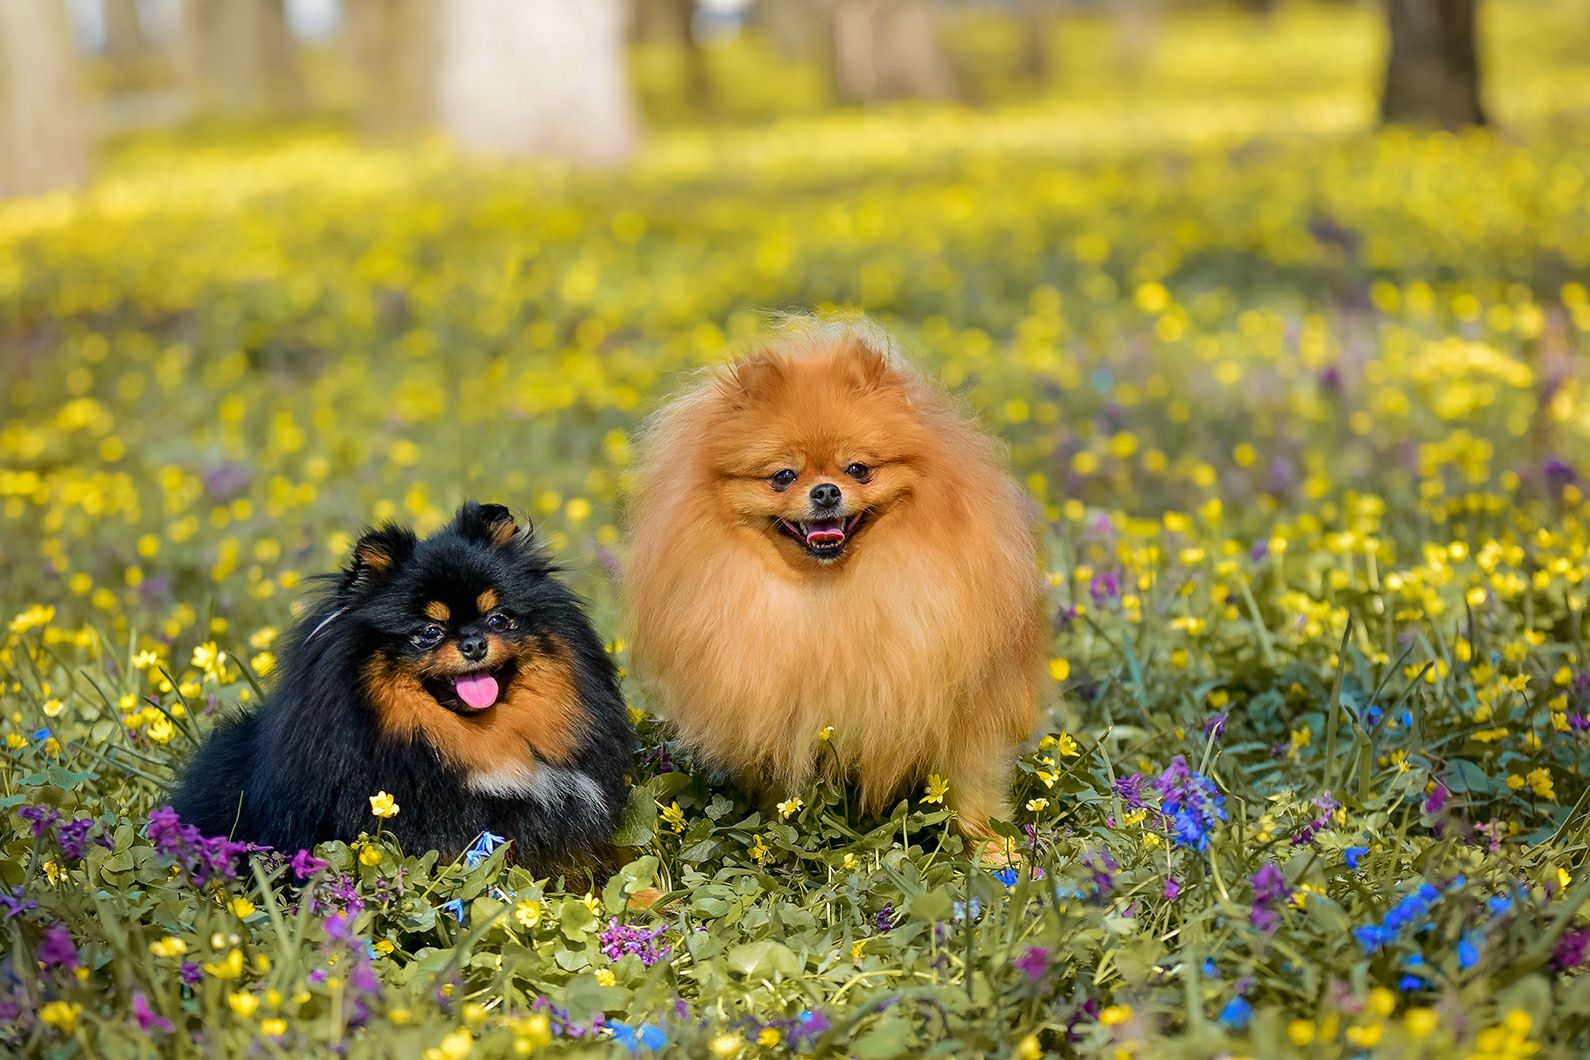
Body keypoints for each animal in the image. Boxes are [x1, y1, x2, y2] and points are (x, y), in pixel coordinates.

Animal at [620, 319, 1043, 832]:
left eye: (858, 469)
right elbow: (783, 793)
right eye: (783, 476)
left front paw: (991, 846)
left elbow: (973, 792)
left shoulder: (967, 713)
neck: (830, 592)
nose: (825, 491)